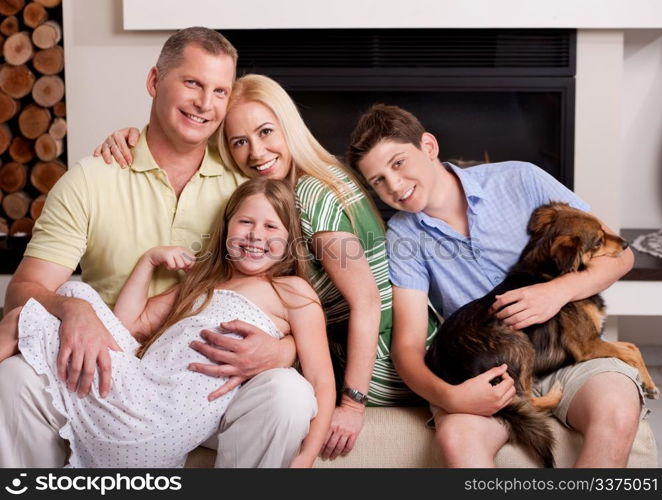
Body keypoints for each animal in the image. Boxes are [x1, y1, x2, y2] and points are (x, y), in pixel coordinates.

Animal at [426, 201, 660, 466]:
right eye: (598, 241)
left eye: (603, 228)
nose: (626, 243)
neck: (549, 270)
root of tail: (449, 369)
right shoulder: (587, 345)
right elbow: (631, 349)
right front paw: (651, 385)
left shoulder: (595, 341)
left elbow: (631, 346)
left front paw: (649, 383)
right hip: (519, 341)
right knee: (527, 399)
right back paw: (555, 395)